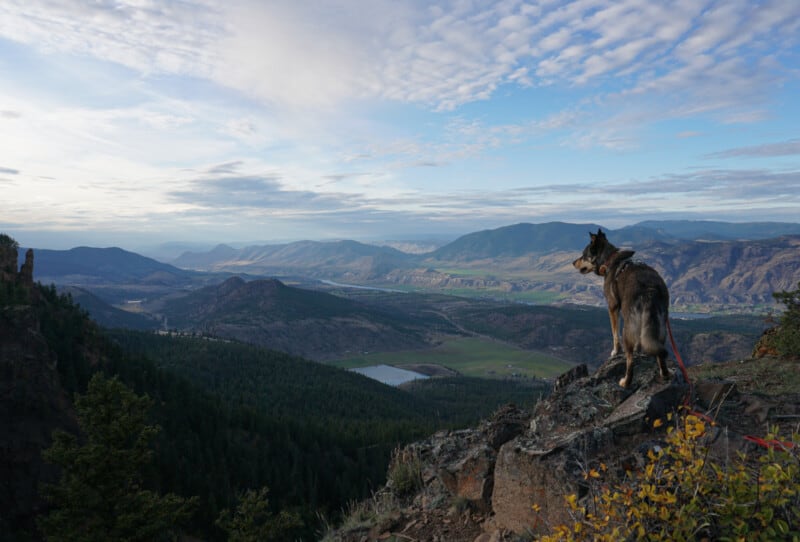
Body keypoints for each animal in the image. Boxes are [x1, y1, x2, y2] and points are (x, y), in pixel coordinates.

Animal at [576, 232, 668, 388]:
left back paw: (626, 381)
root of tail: (649, 291)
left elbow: (614, 333)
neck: (609, 260)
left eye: (584, 255)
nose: (573, 262)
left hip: (627, 327)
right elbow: (639, 340)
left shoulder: (612, 307)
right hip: (661, 326)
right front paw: (639, 348)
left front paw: (615, 351)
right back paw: (664, 375)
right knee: (660, 353)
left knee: (630, 361)